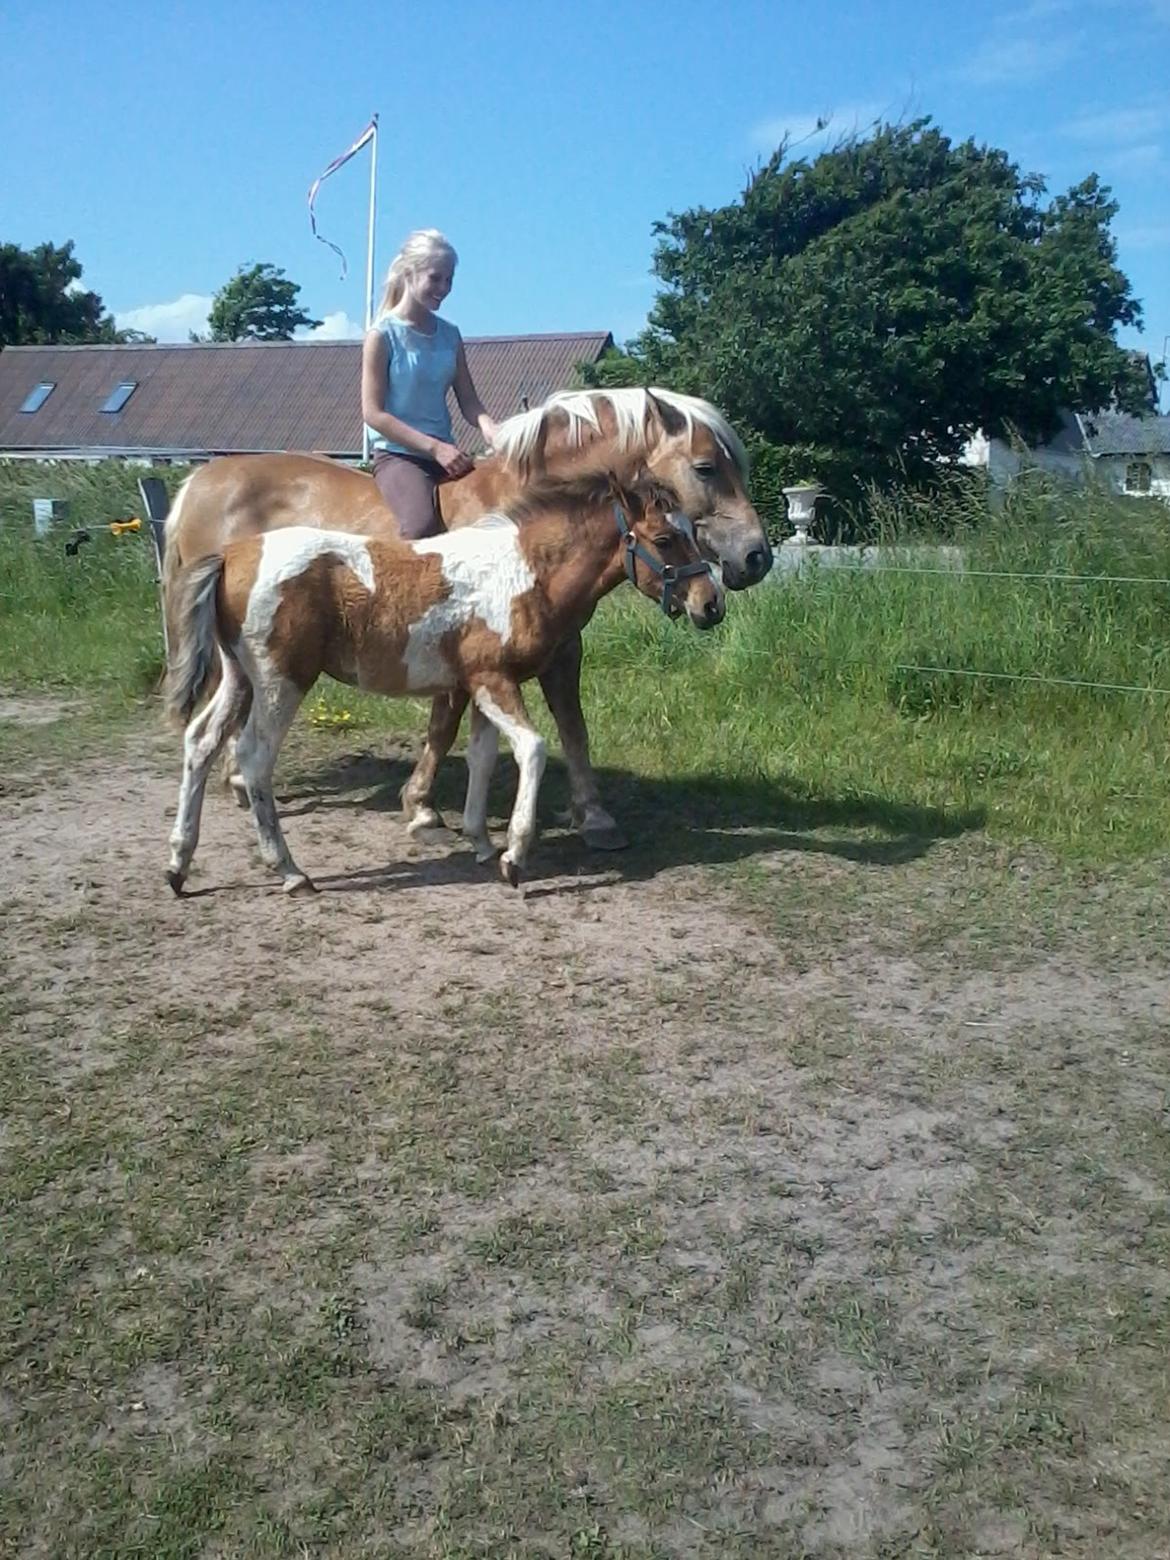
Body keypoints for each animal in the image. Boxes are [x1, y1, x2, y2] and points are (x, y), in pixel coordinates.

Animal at [163, 390, 770, 854]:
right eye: (706, 467)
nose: (755, 559)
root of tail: (197, 483)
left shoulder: (556, 648)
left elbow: (570, 726)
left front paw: (592, 819)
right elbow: (449, 724)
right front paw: (424, 810)